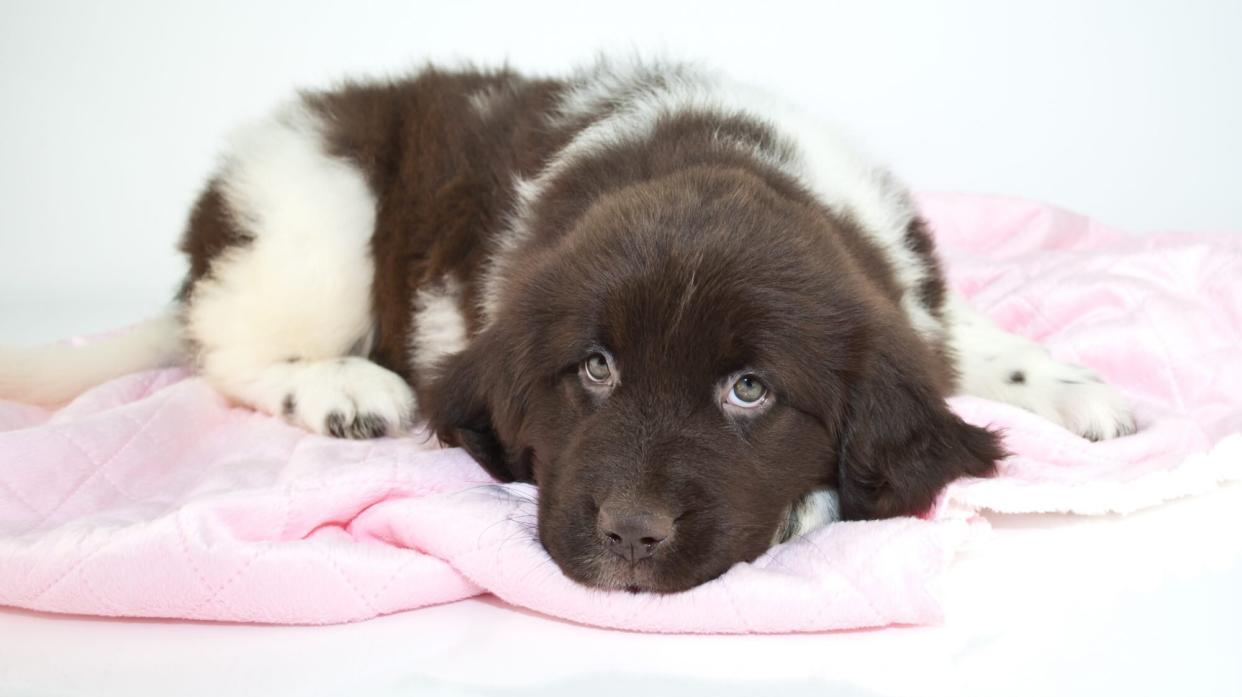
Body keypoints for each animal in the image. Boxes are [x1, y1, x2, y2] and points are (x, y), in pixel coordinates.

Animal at [0, 61, 1137, 591]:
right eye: (593, 369)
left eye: (750, 390)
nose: (630, 535)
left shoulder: (904, 287)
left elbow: (968, 344)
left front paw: (1089, 396)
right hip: (316, 209)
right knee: (226, 343)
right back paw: (343, 387)